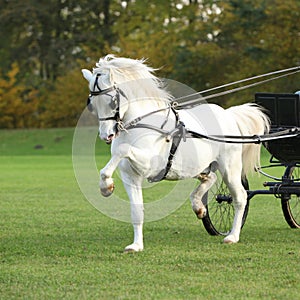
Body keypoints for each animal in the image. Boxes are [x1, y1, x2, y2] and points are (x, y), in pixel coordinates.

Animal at [81, 55, 270, 252]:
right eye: (91, 104)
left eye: (112, 102)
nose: (107, 135)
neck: (142, 123)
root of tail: (227, 114)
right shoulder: (130, 175)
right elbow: (136, 210)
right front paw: (136, 245)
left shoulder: (149, 165)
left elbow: (122, 150)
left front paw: (106, 187)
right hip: (199, 166)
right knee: (210, 178)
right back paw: (198, 206)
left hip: (230, 168)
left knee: (240, 197)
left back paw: (232, 236)